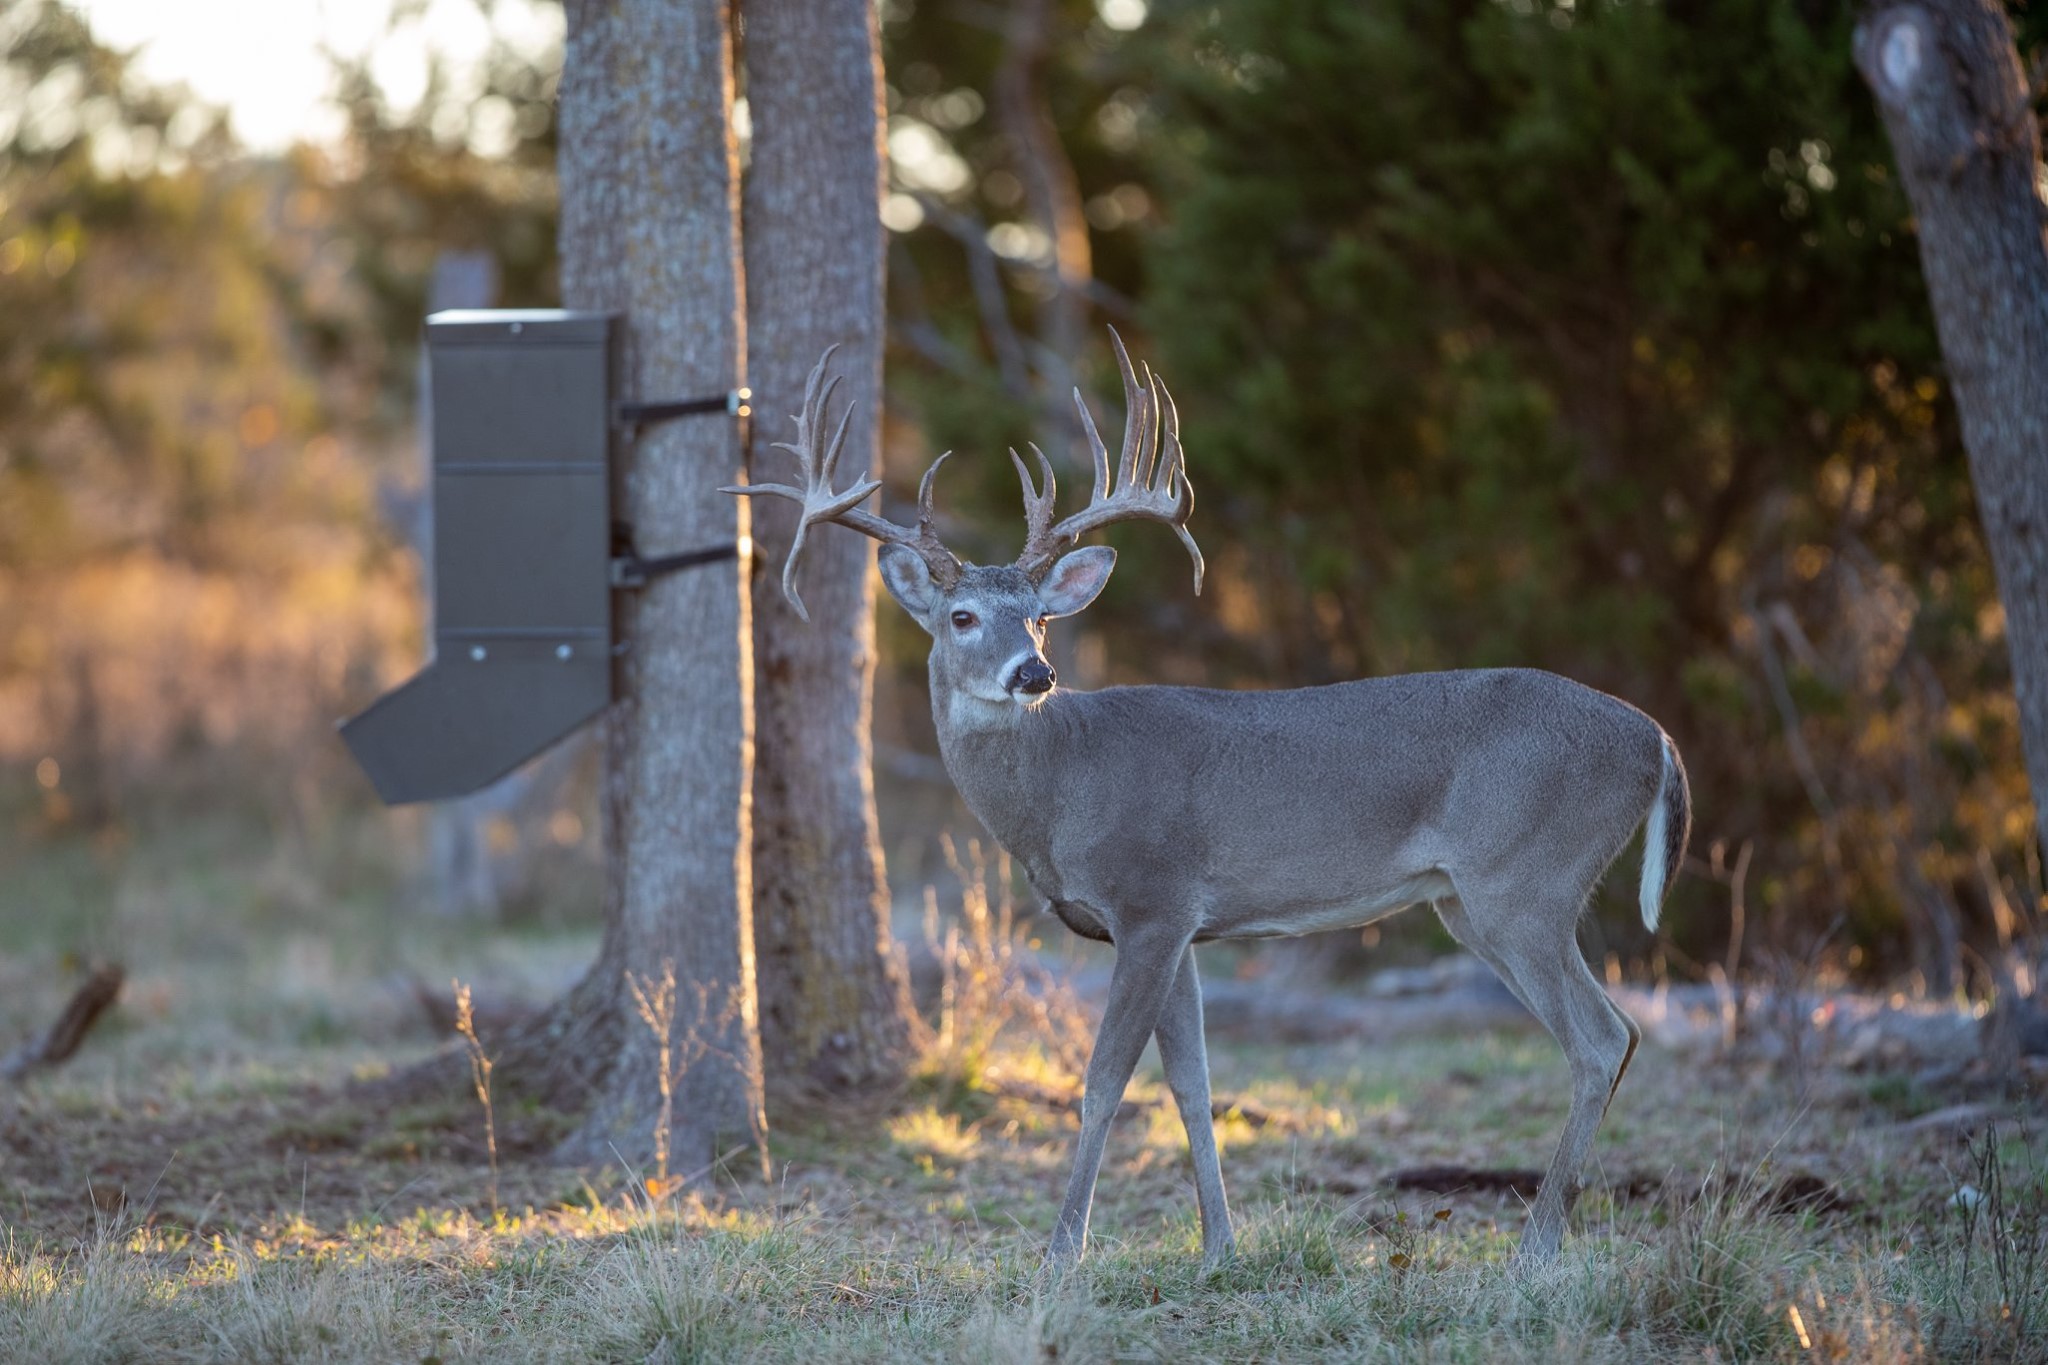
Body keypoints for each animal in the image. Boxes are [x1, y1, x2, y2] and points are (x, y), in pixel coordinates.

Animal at [729, 331, 1687, 1268]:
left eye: (1039, 616)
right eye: (962, 616)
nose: (1034, 673)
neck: (1064, 785)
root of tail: (1656, 740)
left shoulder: (1150, 898)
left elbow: (1103, 1079)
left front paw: (1062, 1251)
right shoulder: (1187, 921)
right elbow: (1192, 1082)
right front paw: (1220, 1246)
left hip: (1523, 878)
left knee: (1602, 1037)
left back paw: (1535, 1248)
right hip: (1471, 898)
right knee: (1616, 1033)